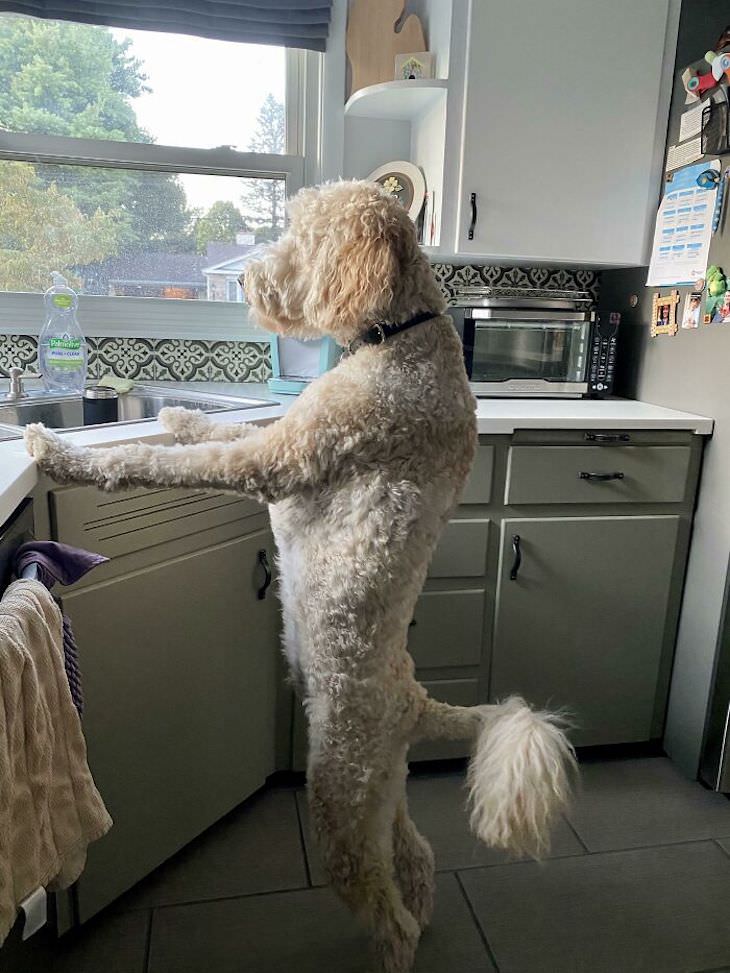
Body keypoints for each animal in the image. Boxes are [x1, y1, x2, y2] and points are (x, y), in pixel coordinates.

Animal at [27, 182, 576, 972]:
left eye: (304, 239)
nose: (250, 282)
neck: (400, 337)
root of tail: (414, 701)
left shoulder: (270, 462)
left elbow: (159, 461)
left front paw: (61, 451)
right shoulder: (276, 437)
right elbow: (219, 429)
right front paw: (180, 412)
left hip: (339, 794)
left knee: (388, 912)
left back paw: (394, 948)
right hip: (383, 791)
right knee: (417, 860)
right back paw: (425, 907)